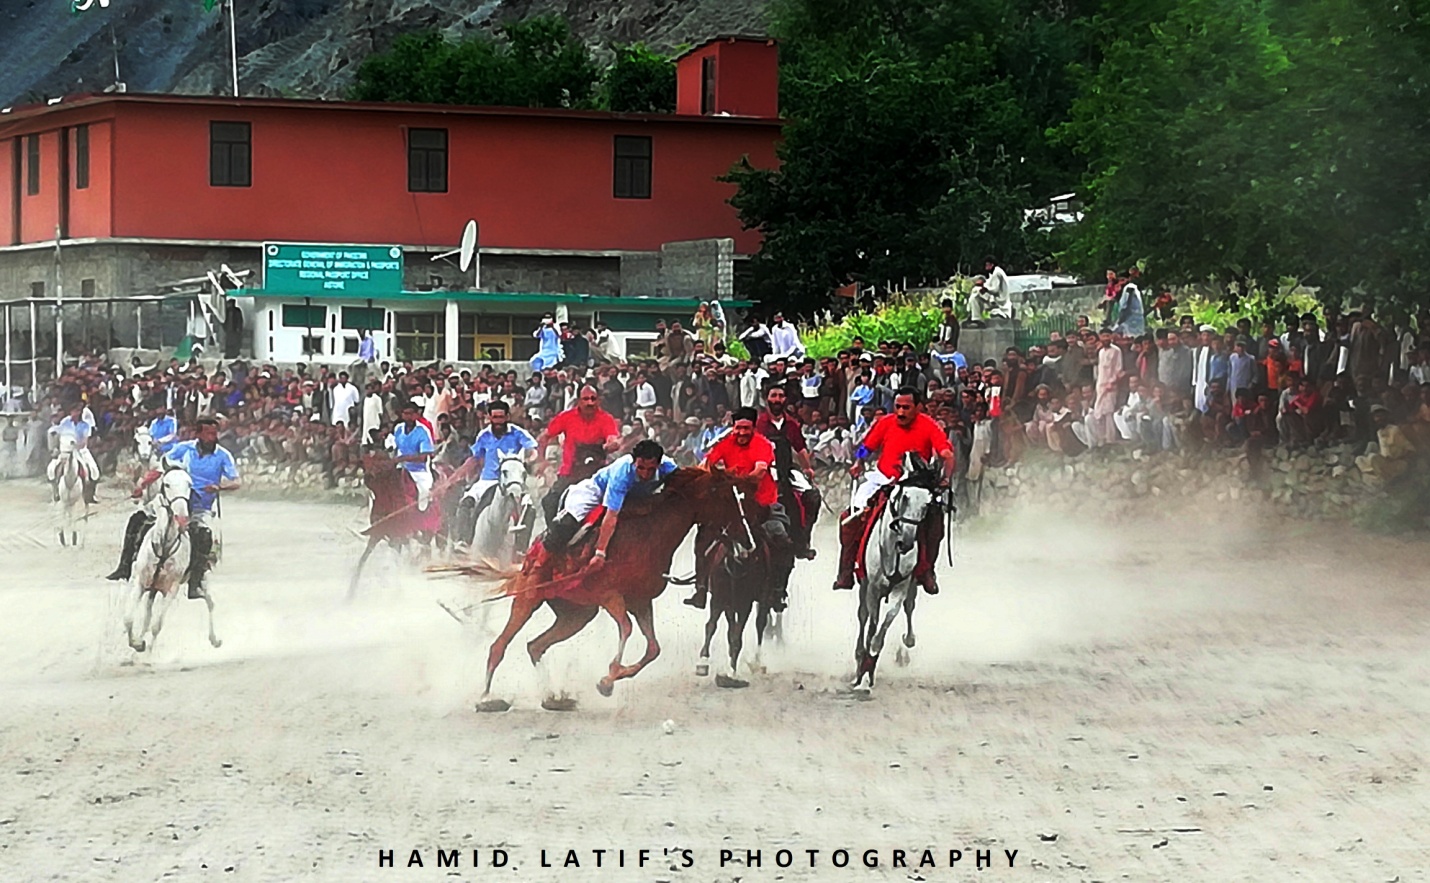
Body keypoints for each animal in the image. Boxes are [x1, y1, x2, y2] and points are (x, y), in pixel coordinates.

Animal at [122, 469, 220, 655]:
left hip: (201, 579)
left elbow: (157, 625)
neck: (164, 546)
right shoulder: (141, 582)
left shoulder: (171, 589)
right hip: (152, 589)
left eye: (189, 484)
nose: (181, 517)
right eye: (166, 484)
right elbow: (129, 619)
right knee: (147, 616)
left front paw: (147, 653)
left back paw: (215, 639)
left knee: (210, 603)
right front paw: (137, 643)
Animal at [350, 452, 446, 595]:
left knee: (424, 548)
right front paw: (350, 593)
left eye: (381, 465)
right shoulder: (377, 535)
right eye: (365, 463)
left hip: (427, 531)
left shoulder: (397, 537)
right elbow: (363, 560)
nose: (368, 477)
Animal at [469, 469, 760, 709]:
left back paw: (553, 698)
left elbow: (653, 649)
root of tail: (530, 553)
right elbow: (627, 629)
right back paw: (486, 699)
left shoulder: (641, 601)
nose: (748, 542)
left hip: (577, 615)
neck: (649, 536)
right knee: (498, 646)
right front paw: (608, 679)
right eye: (727, 498)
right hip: (529, 598)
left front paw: (609, 679)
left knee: (535, 646)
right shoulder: (611, 596)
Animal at [846, 455, 938, 689]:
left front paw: (872, 660)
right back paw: (859, 656)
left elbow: (887, 621)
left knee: (908, 607)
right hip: (863, 584)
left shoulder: (901, 587)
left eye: (927, 503)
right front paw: (863, 669)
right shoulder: (872, 587)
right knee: (862, 615)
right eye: (904, 497)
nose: (906, 541)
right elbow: (872, 622)